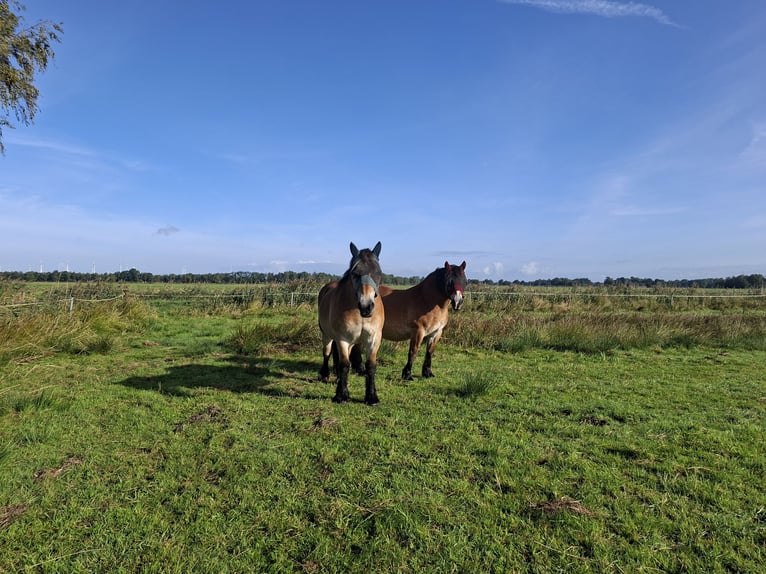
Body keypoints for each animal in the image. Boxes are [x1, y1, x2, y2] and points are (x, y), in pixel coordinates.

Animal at [318, 241, 385, 405]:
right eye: (355, 273)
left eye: (378, 273)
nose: (366, 306)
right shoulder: (343, 339)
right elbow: (344, 365)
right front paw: (341, 395)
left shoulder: (374, 339)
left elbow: (371, 366)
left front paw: (372, 397)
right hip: (327, 335)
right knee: (327, 353)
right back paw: (324, 374)